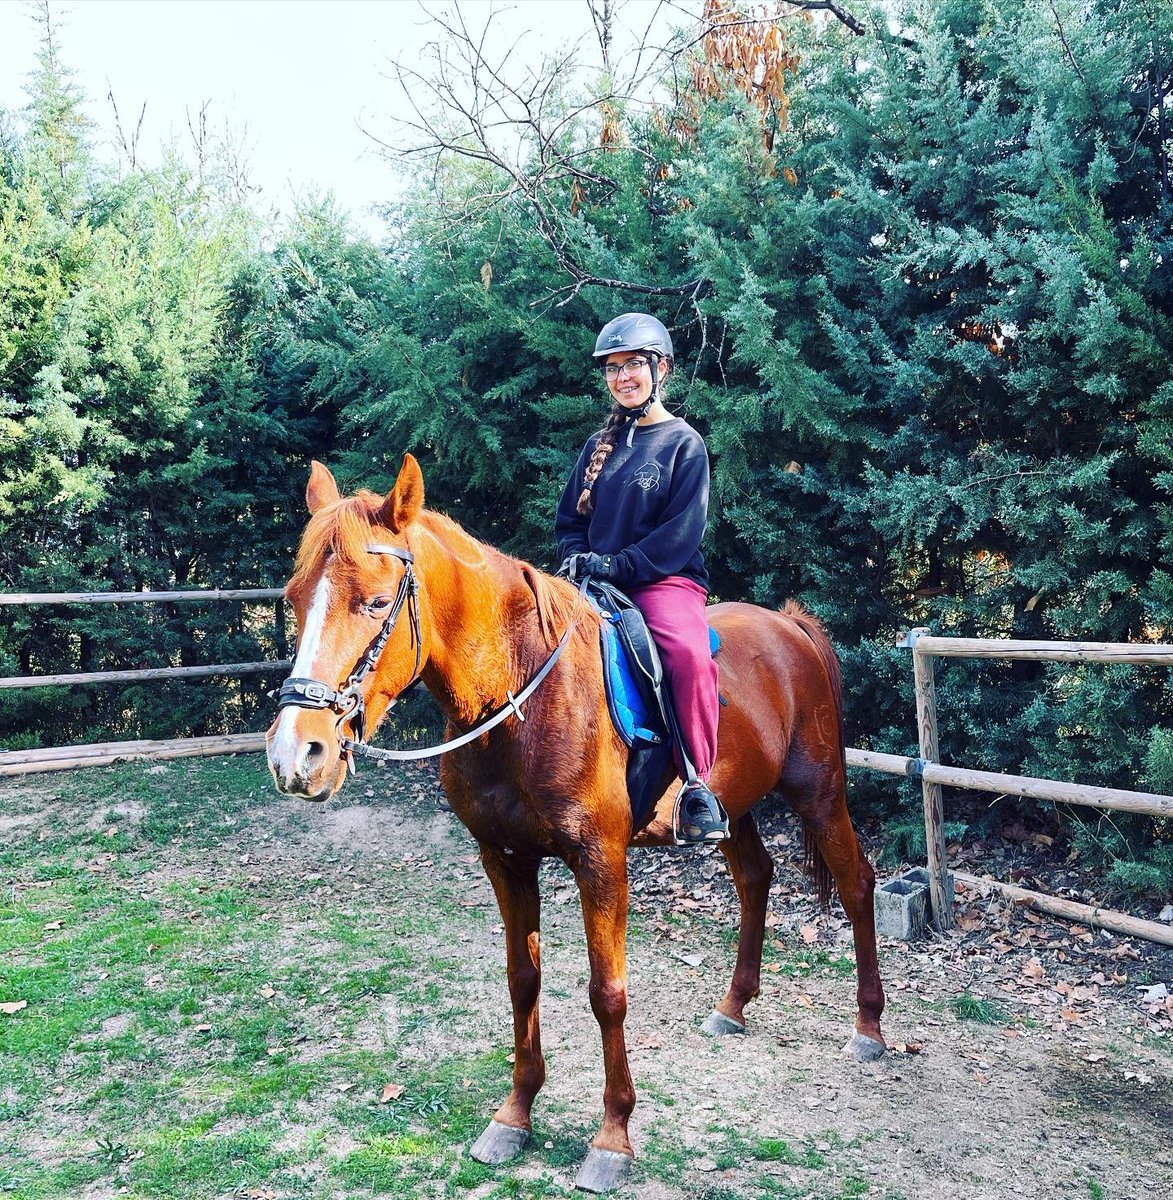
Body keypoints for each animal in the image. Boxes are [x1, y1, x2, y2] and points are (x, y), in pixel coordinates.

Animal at [267, 454, 885, 1194]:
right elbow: (521, 980)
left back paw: (870, 1029)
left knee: (856, 883)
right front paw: (514, 1116)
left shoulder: (601, 862)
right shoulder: (503, 858)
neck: (519, 694)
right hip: (733, 808)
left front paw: (612, 1139)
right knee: (755, 879)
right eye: (294, 598)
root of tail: (789, 626)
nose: (297, 754)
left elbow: (607, 994)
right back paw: (733, 1007)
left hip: (817, 792)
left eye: (378, 603)